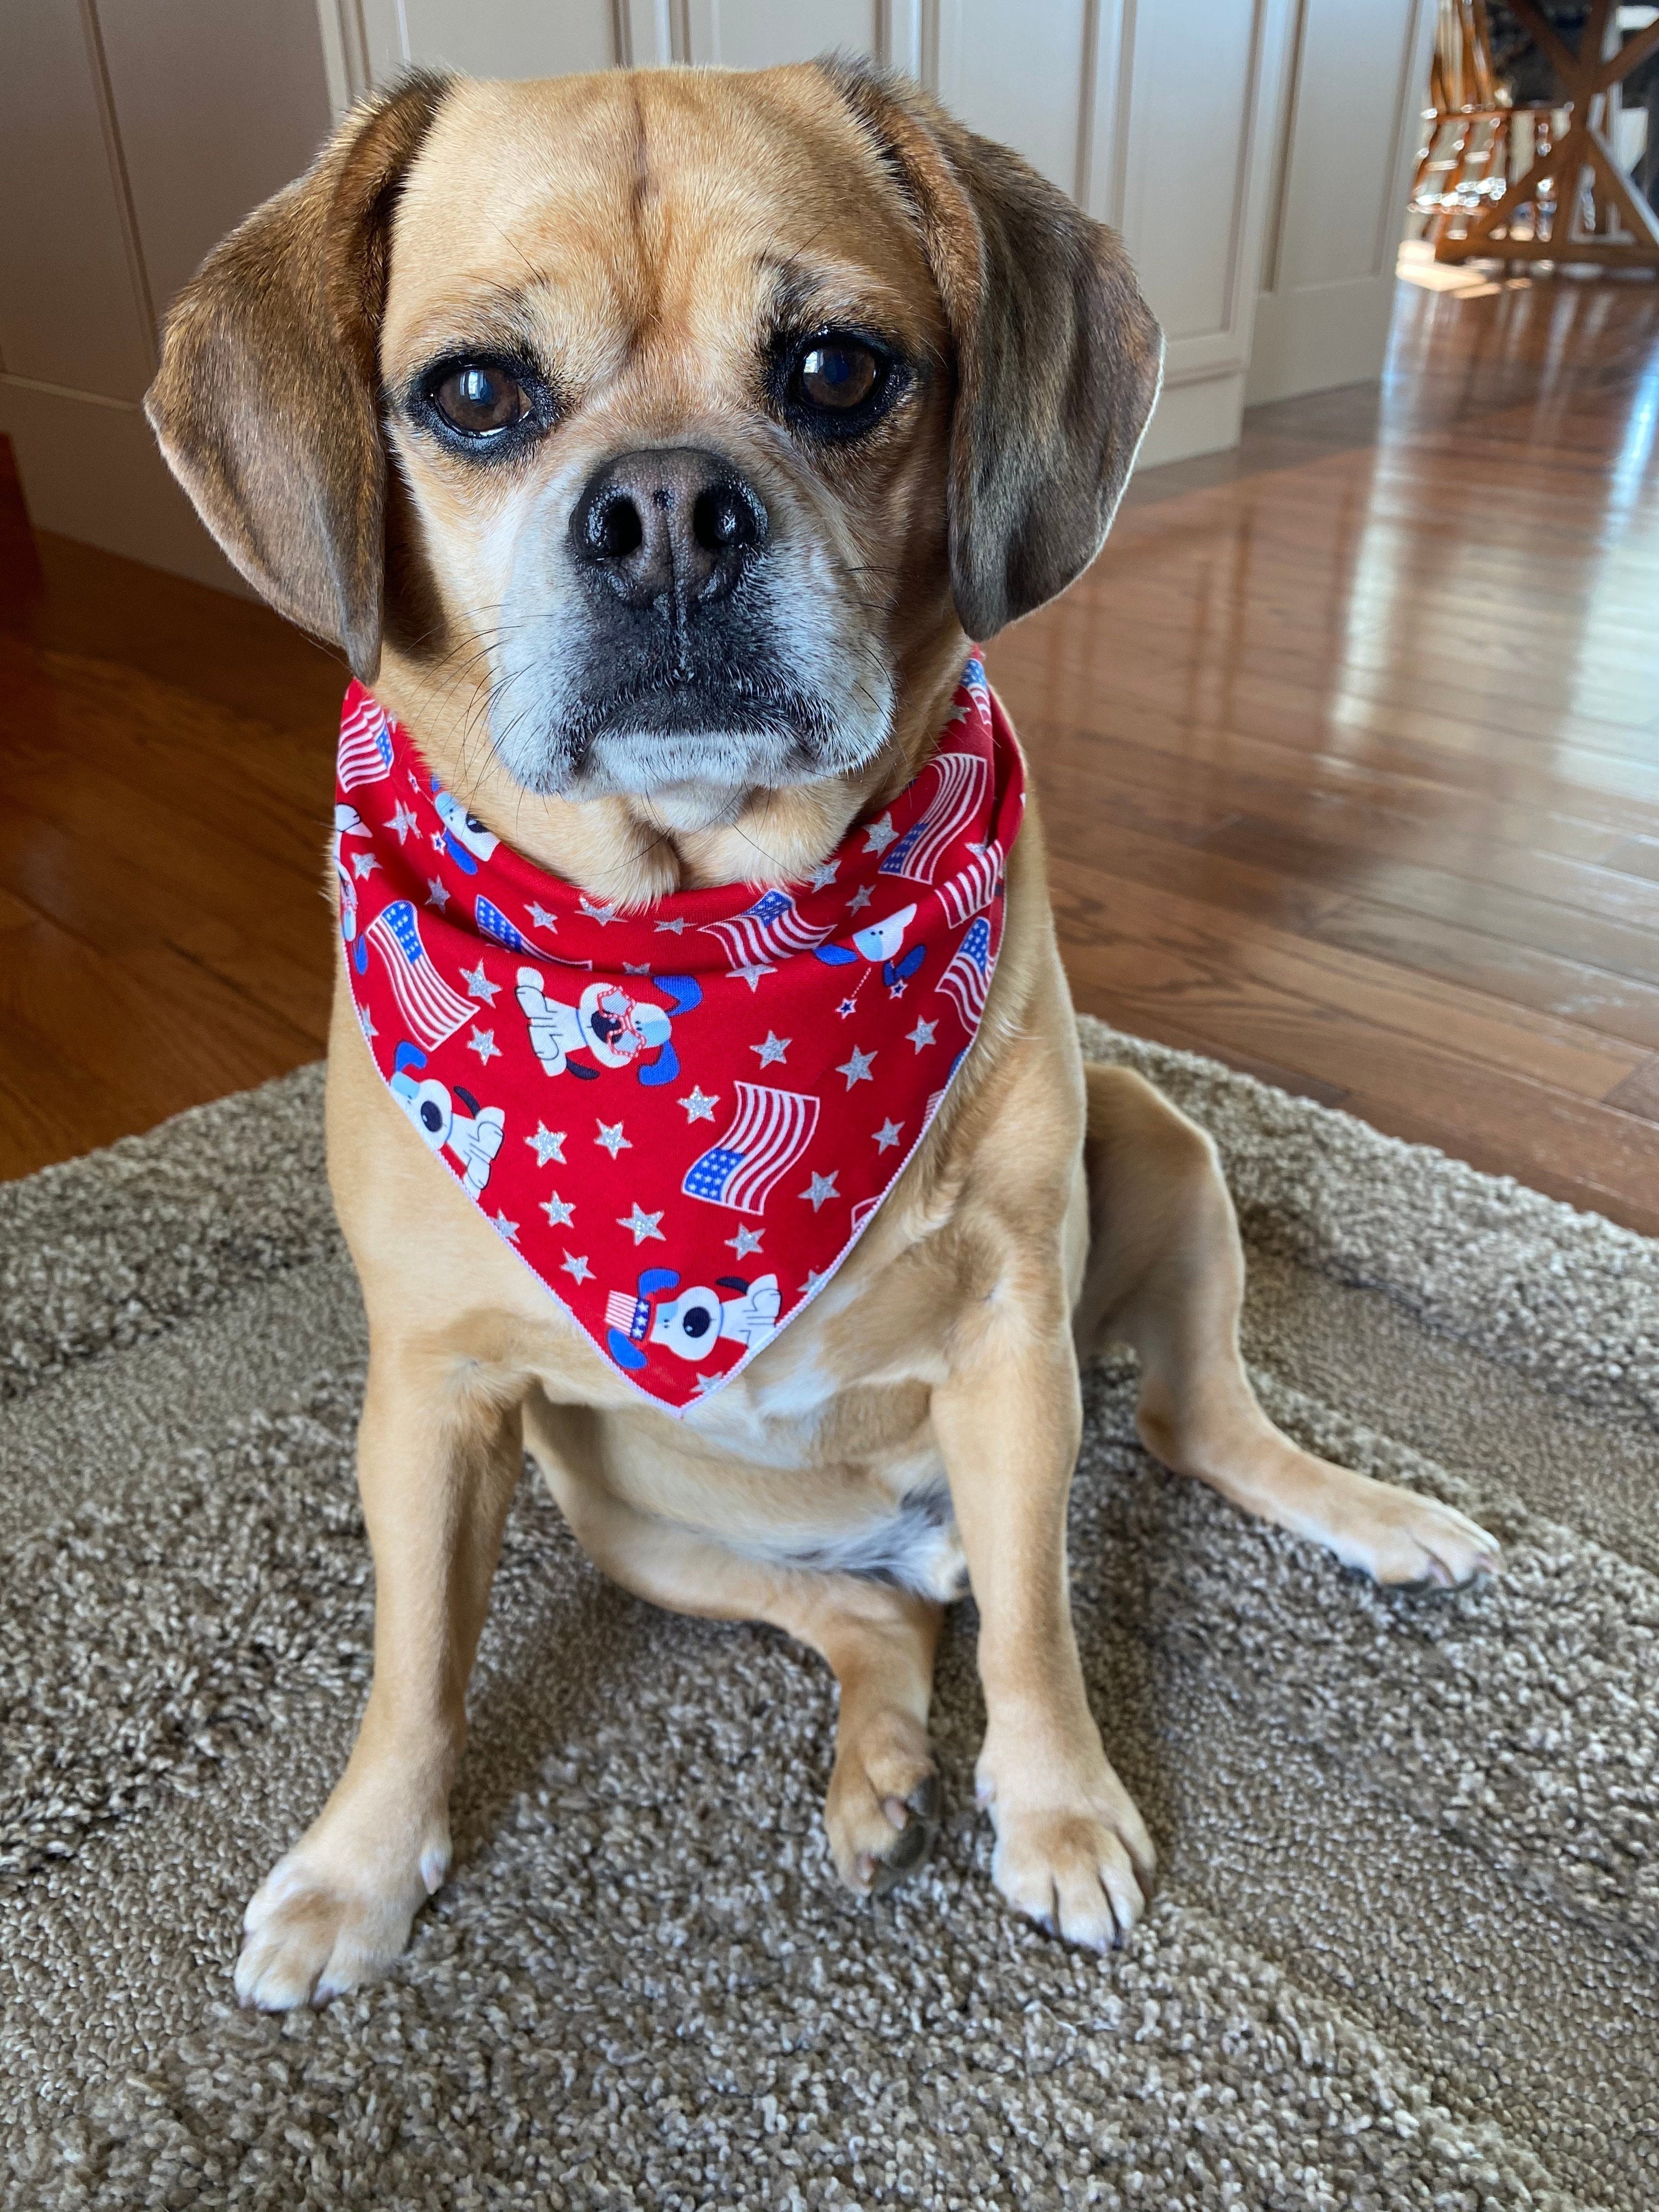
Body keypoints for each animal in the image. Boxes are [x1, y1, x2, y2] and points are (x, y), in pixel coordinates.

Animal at [146, 60, 1504, 2017]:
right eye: (475, 394)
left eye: (839, 372)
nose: (662, 512)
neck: (698, 945)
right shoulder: (434, 1402)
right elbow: (412, 1672)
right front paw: (359, 1871)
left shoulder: (1015, 1355)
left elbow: (1040, 1633)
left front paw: (1061, 1807)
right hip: (623, 1515)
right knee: (871, 1617)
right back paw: (877, 1769)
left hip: (1161, 1151)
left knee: (1175, 1447)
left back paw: (1369, 1523)